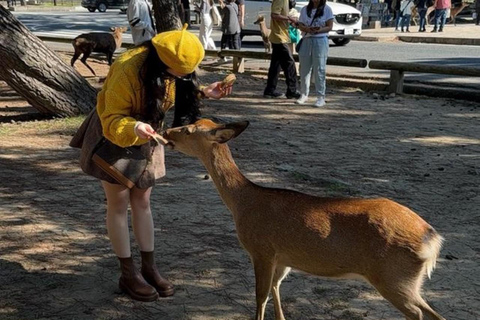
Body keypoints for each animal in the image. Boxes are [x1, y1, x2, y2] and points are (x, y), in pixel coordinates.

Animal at [162, 119, 446, 320]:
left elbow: (260, 296)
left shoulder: (261, 250)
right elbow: (275, 289)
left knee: (419, 314)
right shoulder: (283, 258)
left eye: (187, 129)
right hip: (407, 280)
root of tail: (432, 238)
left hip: (394, 277)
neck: (243, 202)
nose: (165, 132)